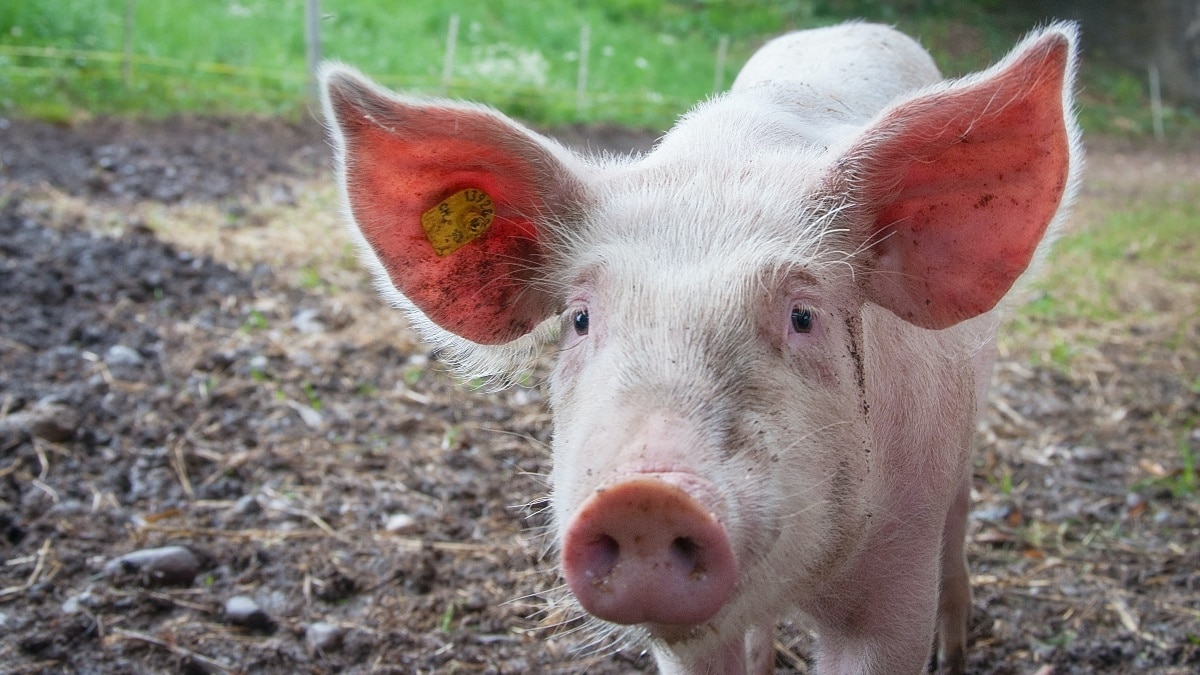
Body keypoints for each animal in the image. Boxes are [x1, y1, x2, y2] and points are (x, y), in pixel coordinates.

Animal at [320, 20, 1081, 675]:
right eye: (580, 319)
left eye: (804, 315)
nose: (645, 498)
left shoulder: (897, 574)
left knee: (959, 521)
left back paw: (954, 653)